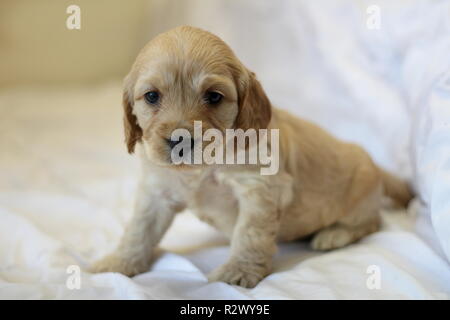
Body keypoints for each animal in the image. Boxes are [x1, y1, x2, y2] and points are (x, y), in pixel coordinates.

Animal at [90, 26, 412, 288]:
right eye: (152, 96)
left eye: (214, 96)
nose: (180, 140)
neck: (203, 167)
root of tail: (376, 166)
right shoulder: (157, 190)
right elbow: (139, 229)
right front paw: (119, 262)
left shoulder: (260, 188)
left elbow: (250, 233)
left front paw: (239, 271)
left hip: (361, 197)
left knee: (371, 222)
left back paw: (334, 234)